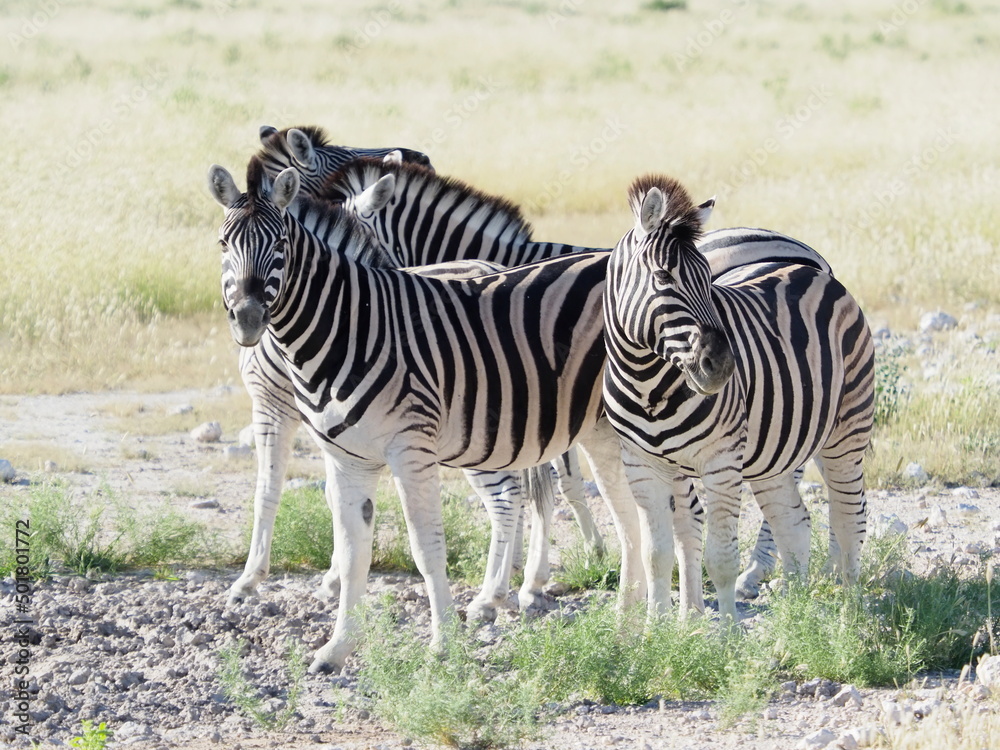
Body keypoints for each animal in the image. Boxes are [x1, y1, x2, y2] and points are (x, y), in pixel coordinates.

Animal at [208, 156, 652, 672]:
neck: (346, 327)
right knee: (622, 516)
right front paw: (337, 645)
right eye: (223, 244)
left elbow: (421, 545)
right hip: (585, 428)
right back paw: (613, 621)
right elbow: (352, 546)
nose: (248, 319)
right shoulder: (345, 456)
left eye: (280, 244)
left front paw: (443, 644)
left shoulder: (394, 445)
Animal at [601, 174, 874, 621]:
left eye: (708, 279)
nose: (723, 366)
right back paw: (796, 617)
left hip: (846, 429)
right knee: (794, 521)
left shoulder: (721, 461)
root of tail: (812, 269)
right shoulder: (641, 464)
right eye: (663, 278)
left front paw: (725, 634)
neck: (647, 383)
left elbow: (720, 559)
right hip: (776, 448)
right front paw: (656, 629)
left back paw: (847, 615)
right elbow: (656, 555)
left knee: (849, 516)